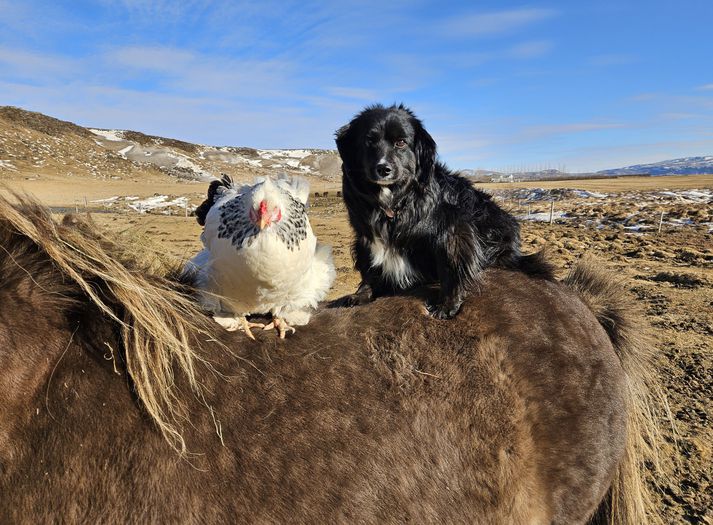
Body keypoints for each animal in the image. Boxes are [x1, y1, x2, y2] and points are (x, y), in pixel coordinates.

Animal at [334, 101, 552, 318]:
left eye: (401, 142)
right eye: (369, 141)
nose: (383, 168)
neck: (397, 200)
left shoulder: (453, 230)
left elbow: (451, 267)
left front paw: (447, 305)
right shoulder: (365, 238)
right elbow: (370, 268)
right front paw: (361, 294)